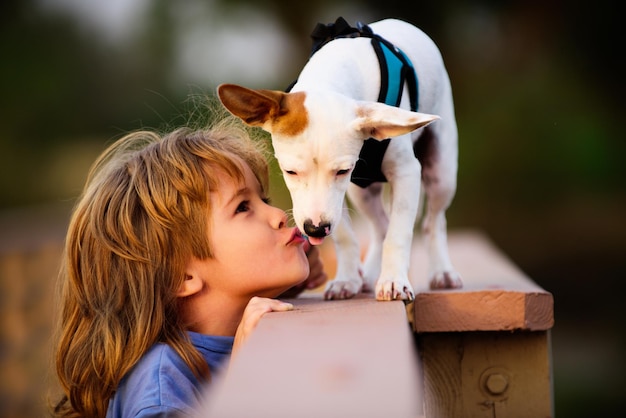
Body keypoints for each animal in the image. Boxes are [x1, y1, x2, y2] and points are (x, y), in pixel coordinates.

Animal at [217, 17, 460, 300]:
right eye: (290, 172)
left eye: (343, 171)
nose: (315, 229)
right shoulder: (341, 194)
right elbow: (345, 236)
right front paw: (347, 279)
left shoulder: (406, 172)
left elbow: (399, 233)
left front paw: (393, 281)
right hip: (362, 191)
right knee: (380, 225)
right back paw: (367, 274)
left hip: (441, 173)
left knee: (433, 222)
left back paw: (442, 272)